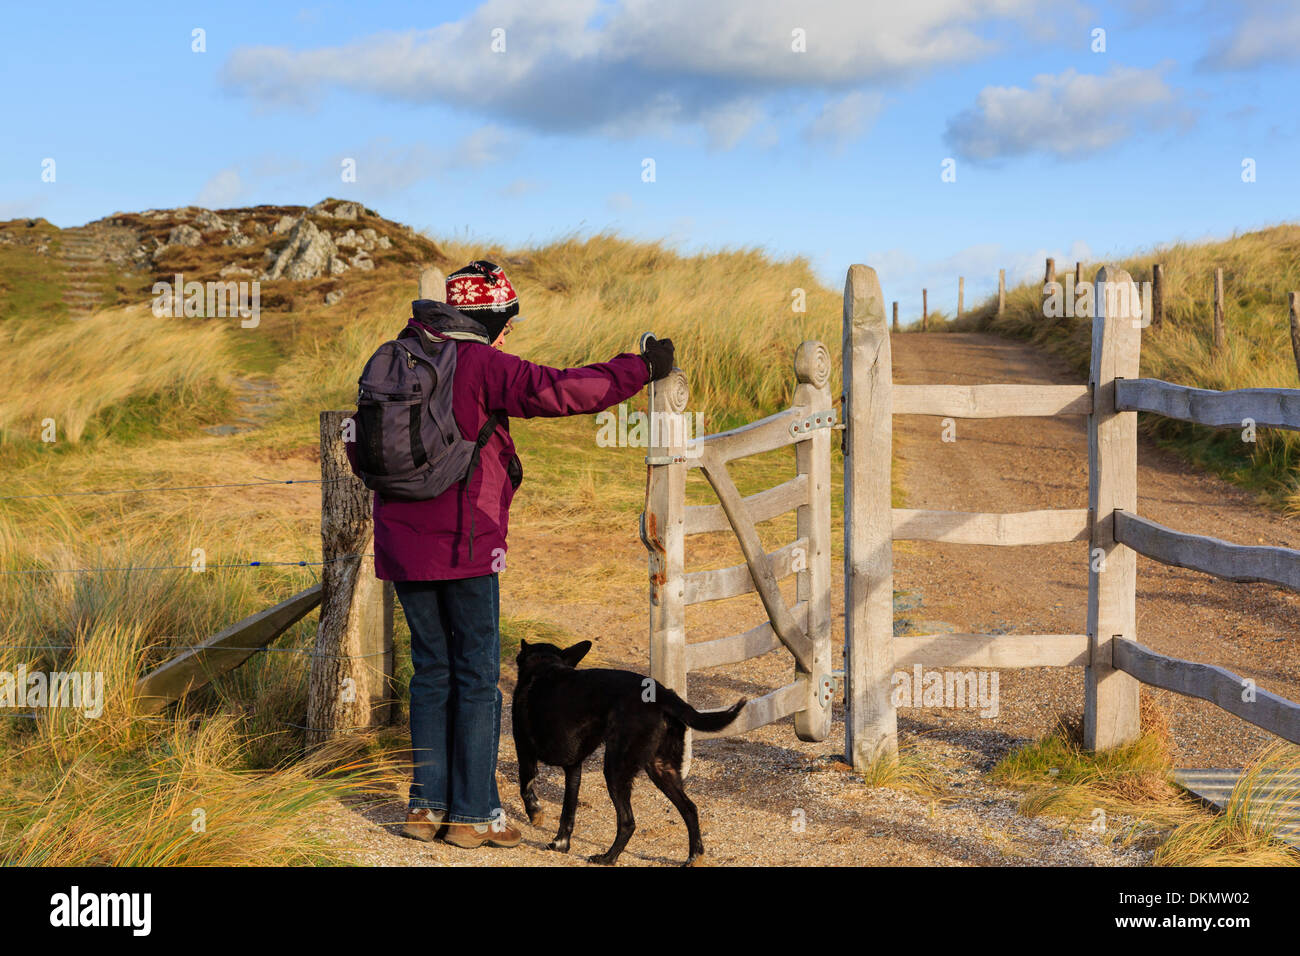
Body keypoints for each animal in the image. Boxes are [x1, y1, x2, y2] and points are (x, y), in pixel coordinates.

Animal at [514, 639, 743, 863]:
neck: (545, 665)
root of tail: (662, 695)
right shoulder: (573, 767)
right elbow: (568, 811)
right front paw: (561, 844)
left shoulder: (524, 750)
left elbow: (526, 787)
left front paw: (535, 814)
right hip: (662, 769)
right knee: (690, 809)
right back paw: (694, 855)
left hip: (615, 770)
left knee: (628, 822)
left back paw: (607, 858)